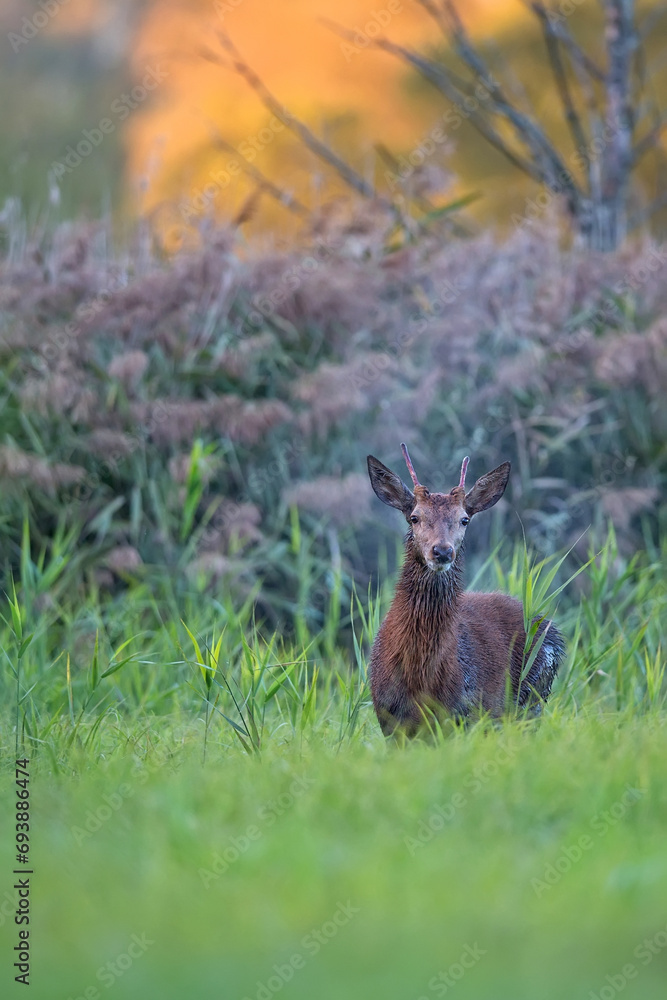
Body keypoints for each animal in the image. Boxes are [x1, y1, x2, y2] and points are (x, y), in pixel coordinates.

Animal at [366, 444, 564, 736]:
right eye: (414, 517)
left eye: (464, 519)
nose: (442, 551)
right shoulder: (389, 717)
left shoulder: (463, 712)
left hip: (532, 696)